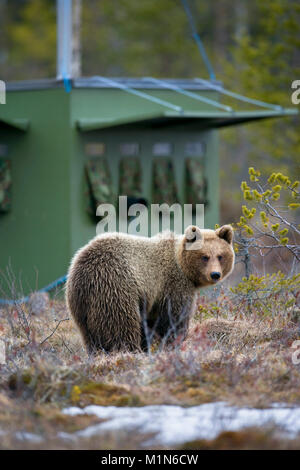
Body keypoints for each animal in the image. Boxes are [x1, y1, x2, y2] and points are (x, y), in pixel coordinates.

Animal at [65, 226, 234, 354]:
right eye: (205, 256)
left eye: (220, 256)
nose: (215, 274)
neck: (182, 266)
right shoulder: (173, 285)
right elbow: (174, 319)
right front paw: (174, 343)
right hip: (115, 286)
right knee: (121, 325)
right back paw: (129, 351)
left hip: (79, 304)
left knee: (88, 335)